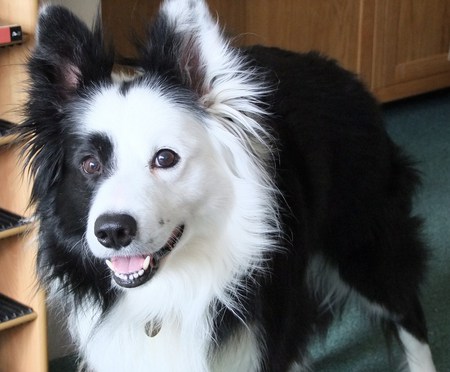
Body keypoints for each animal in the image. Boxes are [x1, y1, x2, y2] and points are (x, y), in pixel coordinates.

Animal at [17, 0, 436, 372]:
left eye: (165, 158)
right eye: (90, 164)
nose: (112, 231)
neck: (167, 292)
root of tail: (345, 74)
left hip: (364, 242)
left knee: (408, 311)